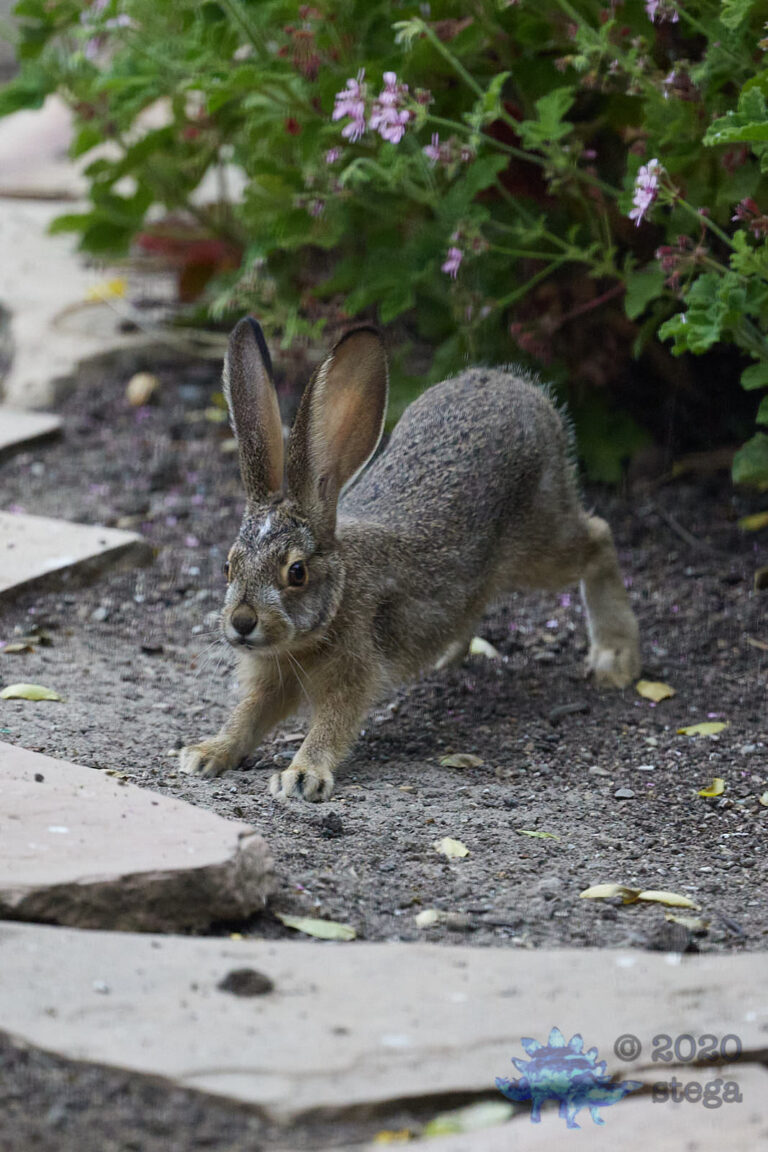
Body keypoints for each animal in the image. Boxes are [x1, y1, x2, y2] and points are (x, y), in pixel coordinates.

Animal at [179, 317, 640, 800]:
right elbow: (247, 716)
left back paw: (615, 656)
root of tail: (517, 386)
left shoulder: (354, 672)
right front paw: (208, 753)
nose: (242, 622)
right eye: (228, 566)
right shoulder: (270, 680)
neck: (334, 601)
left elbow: (331, 725)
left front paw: (303, 776)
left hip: (540, 543)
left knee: (598, 538)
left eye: (297, 572)